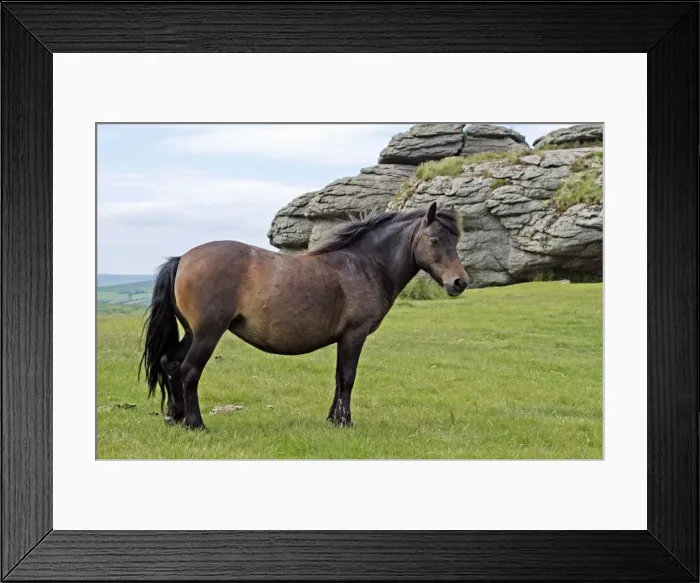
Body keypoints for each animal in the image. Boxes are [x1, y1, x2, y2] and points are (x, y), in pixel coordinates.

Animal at [139, 202, 470, 430]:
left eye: (455, 241)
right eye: (435, 240)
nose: (459, 282)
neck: (365, 265)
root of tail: (182, 258)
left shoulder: (343, 339)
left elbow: (339, 378)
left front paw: (333, 419)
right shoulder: (354, 335)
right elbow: (348, 377)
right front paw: (345, 422)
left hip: (193, 333)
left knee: (170, 362)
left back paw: (175, 416)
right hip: (208, 333)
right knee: (189, 370)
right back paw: (196, 424)